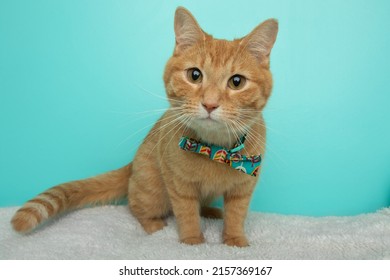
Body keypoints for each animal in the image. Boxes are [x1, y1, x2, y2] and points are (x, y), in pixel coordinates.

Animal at [11, 6, 278, 247]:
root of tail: (132, 164)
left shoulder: (243, 188)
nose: (210, 104)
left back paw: (212, 212)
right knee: (137, 207)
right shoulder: (178, 185)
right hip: (153, 191)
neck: (215, 150)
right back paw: (155, 226)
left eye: (236, 82)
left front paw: (235, 241)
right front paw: (192, 242)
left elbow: (236, 215)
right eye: (194, 75)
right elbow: (187, 214)